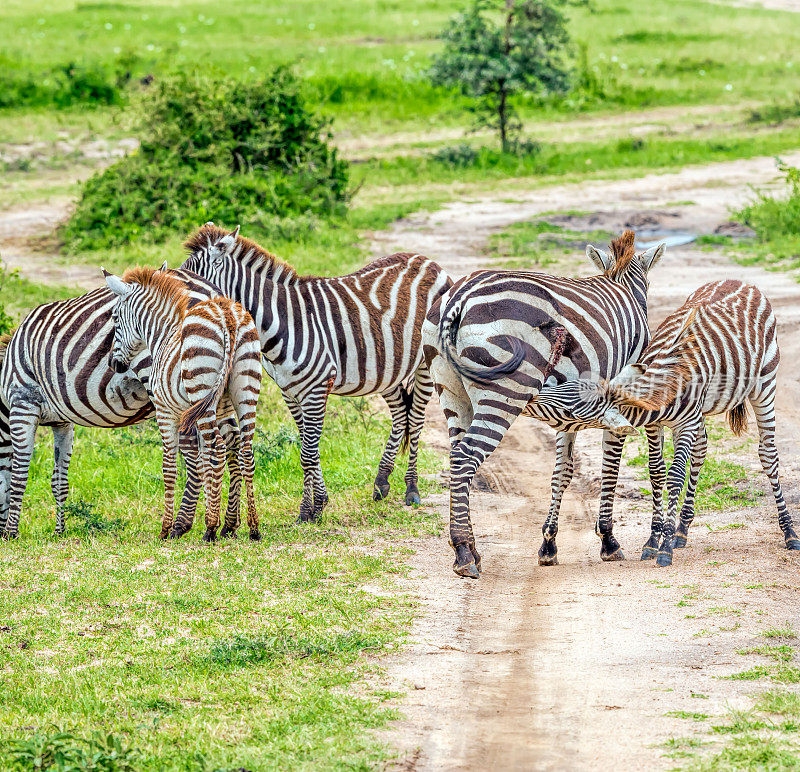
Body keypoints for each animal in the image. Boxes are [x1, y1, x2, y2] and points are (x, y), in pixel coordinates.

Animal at [0, 266, 241, 536]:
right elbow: (58, 479)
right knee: (233, 441)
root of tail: (213, 293)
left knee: (197, 449)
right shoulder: (63, 422)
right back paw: (230, 523)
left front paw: (11, 533)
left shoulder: (23, 402)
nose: (2, 533)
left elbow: (18, 474)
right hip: (215, 391)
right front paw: (59, 530)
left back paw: (181, 524)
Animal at [104, 266, 262, 544]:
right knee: (244, 451)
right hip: (245, 388)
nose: (114, 364)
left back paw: (210, 529)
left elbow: (171, 467)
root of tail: (226, 314)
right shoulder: (218, 409)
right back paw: (252, 527)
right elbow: (203, 460)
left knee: (217, 450)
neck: (163, 336)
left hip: (202, 388)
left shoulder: (166, 411)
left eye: (114, 318)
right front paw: (219, 520)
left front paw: (168, 528)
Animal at [182, 223, 454, 524]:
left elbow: (308, 453)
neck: (282, 321)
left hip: (426, 363)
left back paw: (412, 489)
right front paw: (315, 506)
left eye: (190, 281)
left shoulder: (316, 388)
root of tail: (428, 261)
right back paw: (382, 482)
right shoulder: (289, 391)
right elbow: (307, 448)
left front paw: (309, 510)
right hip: (386, 367)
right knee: (400, 414)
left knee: (415, 418)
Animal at [422, 232, 664, 576]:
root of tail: (458, 297)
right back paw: (464, 553)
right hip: (504, 392)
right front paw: (608, 541)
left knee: (456, 455)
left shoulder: (572, 409)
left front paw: (549, 546)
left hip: (451, 390)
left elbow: (563, 471)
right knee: (465, 456)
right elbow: (613, 467)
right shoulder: (617, 403)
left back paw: (471, 548)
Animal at [564, 278, 800, 568]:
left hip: (765, 385)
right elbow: (657, 472)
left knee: (768, 455)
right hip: (700, 412)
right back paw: (681, 530)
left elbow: (675, 474)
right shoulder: (657, 425)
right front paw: (654, 540)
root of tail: (740, 281)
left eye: (570, 410)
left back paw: (789, 532)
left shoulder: (686, 422)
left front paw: (664, 549)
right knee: (700, 452)